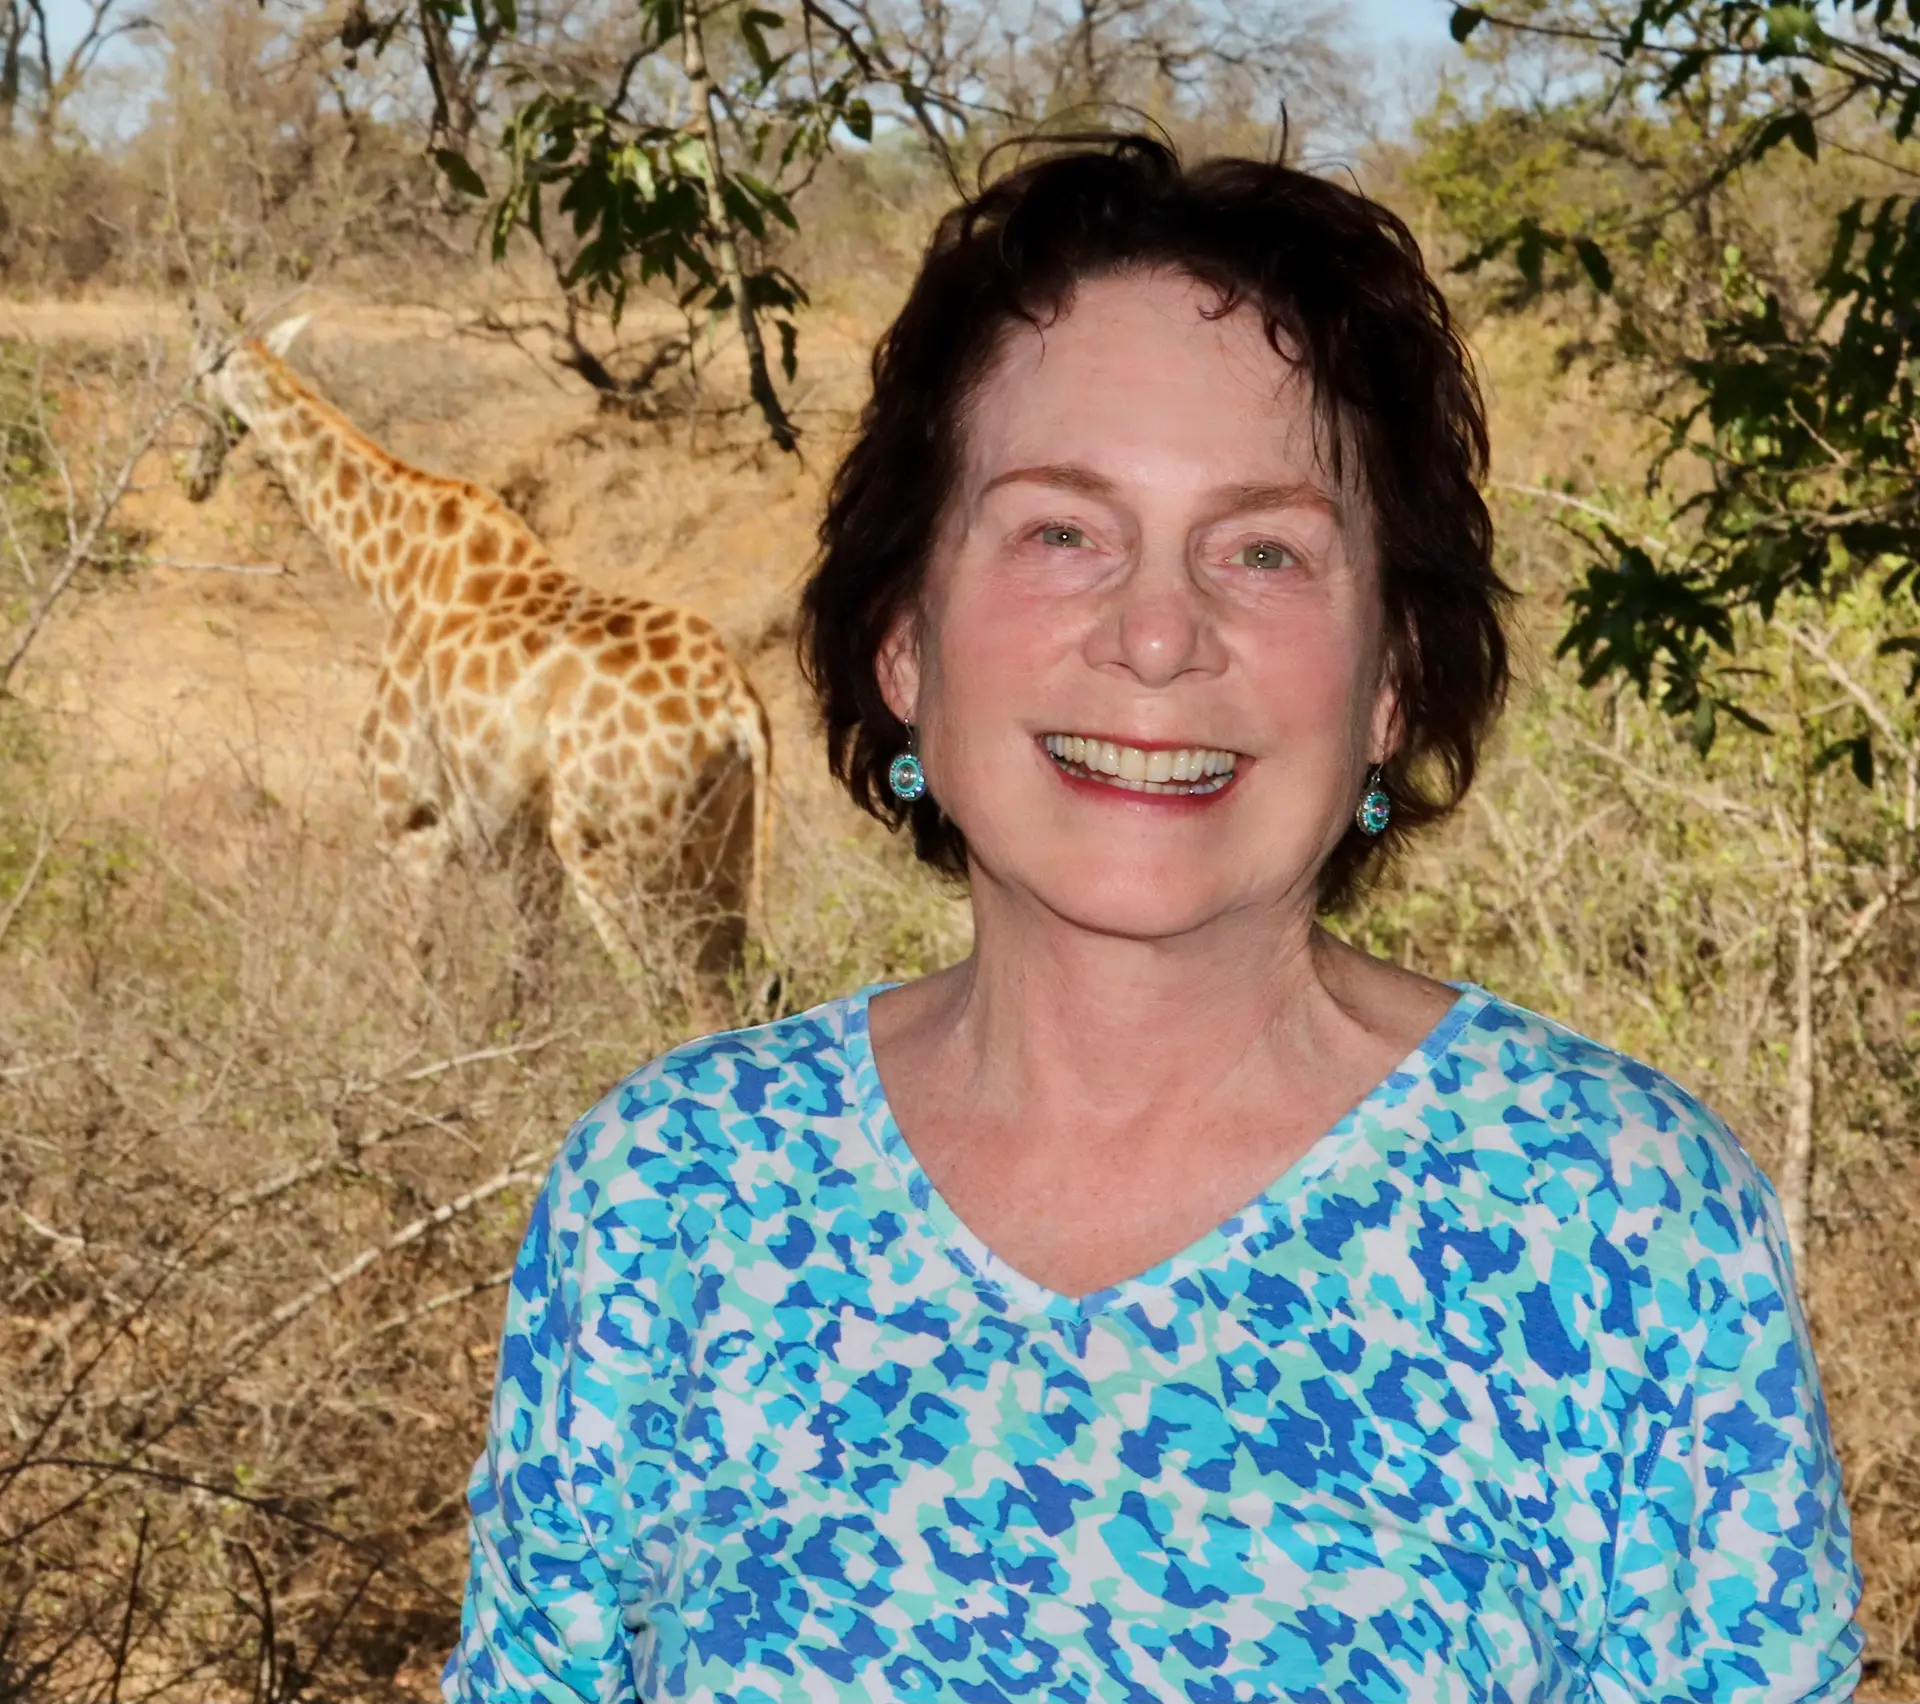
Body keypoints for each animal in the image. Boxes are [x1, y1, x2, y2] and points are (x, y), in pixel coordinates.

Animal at [185, 316, 771, 997]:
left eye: (193, 377)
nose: (190, 475)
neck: (392, 571)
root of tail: (736, 707)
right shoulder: (526, 851)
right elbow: (528, 982)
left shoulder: (409, 823)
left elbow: (413, 984)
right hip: (721, 851)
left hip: (611, 849)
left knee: (666, 992)